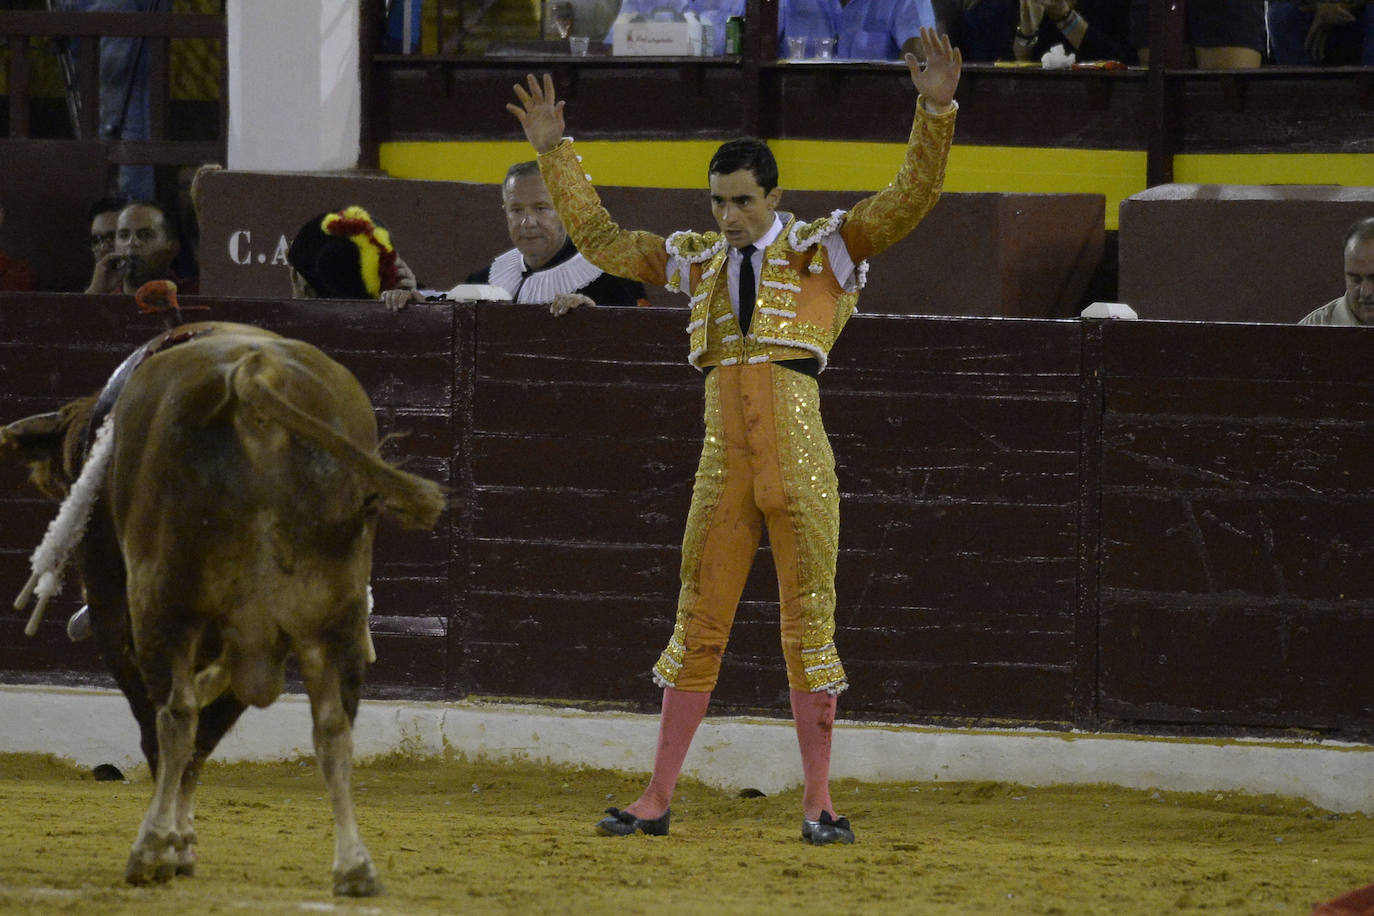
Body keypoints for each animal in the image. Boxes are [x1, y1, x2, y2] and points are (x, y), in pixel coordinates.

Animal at [0, 321, 445, 895]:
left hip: (163, 607)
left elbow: (169, 732)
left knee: (174, 717)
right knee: (332, 727)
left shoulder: (114, 617)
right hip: (333, 622)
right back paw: (354, 868)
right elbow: (207, 740)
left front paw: (171, 842)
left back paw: (149, 851)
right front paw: (183, 839)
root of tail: (257, 373)